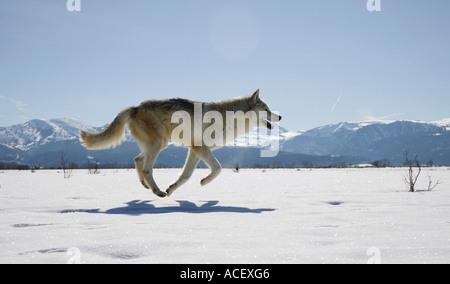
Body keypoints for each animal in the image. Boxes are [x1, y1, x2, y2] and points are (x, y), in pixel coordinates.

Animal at [79, 89, 280, 197]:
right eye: (267, 110)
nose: (280, 116)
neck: (230, 120)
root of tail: (135, 107)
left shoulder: (195, 150)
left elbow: (186, 176)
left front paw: (172, 189)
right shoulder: (199, 147)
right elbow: (217, 168)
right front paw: (204, 182)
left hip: (160, 144)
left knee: (137, 160)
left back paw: (147, 186)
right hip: (158, 144)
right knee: (146, 168)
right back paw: (157, 192)